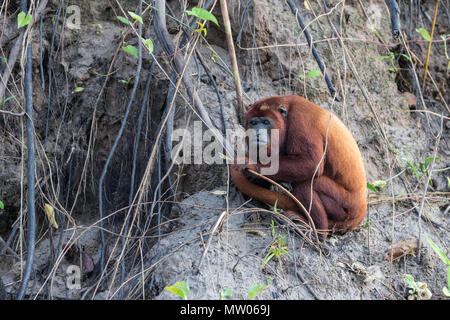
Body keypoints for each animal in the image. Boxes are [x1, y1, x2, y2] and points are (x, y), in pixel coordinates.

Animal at [230, 95, 368, 235]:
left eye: (265, 122)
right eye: (253, 123)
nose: (257, 132)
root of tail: (360, 213)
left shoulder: (301, 120)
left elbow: (312, 163)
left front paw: (252, 166)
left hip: (345, 206)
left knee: (306, 185)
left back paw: (317, 229)